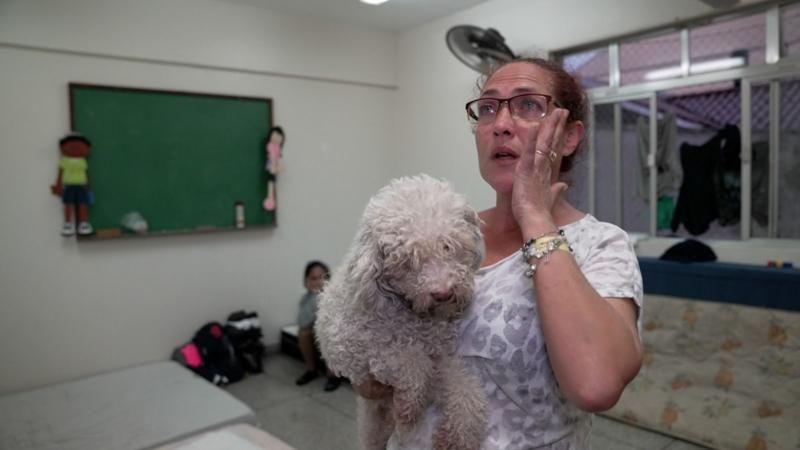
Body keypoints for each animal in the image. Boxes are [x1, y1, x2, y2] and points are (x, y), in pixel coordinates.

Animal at [316, 174, 484, 448]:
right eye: (407, 260)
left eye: (449, 246)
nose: (443, 293)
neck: (412, 315)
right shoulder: (358, 349)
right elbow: (412, 362)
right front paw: (409, 409)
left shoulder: (440, 356)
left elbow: (464, 389)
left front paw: (457, 437)